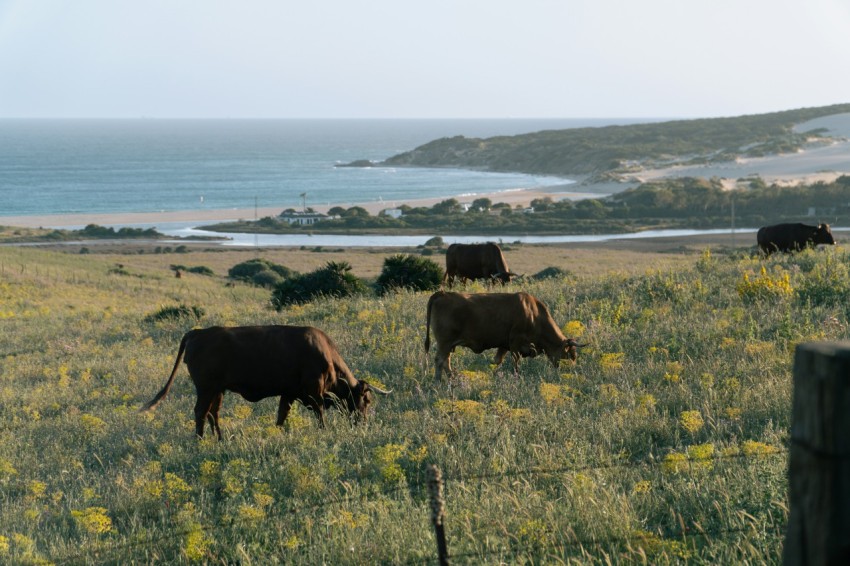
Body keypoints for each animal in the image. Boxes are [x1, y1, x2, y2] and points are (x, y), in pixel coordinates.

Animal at [140, 326, 390, 442]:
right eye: (367, 399)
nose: (364, 423)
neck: (326, 355)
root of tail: (198, 332)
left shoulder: (289, 393)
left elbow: (281, 416)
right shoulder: (313, 392)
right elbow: (320, 413)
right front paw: (324, 431)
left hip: (217, 390)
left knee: (213, 413)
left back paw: (220, 439)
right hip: (206, 388)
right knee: (201, 411)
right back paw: (200, 441)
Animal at [422, 292, 584, 382]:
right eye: (570, 355)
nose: (571, 371)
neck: (534, 313)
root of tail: (443, 293)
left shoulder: (504, 345)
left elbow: (497, 361)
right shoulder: (515, 344)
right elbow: (516, 363)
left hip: (449, 345)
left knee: (446, 361)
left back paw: (452, 379)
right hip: (444, 343)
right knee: (440, 360)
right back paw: (438, 381)